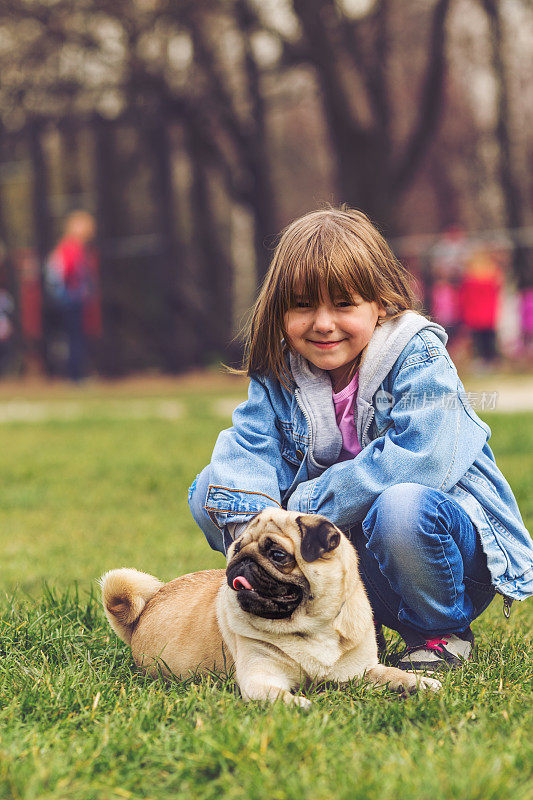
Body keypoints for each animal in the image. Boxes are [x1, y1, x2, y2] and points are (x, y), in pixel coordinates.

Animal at [101, 506, 440, 708]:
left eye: (278, 555)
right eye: (236, 549)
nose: (242, 561)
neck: (312, 628)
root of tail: (143, 612)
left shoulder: (362, 671)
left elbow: (393, 675)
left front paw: (420, 682)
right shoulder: (260, 679)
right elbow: (280, 696)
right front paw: (301, 705)